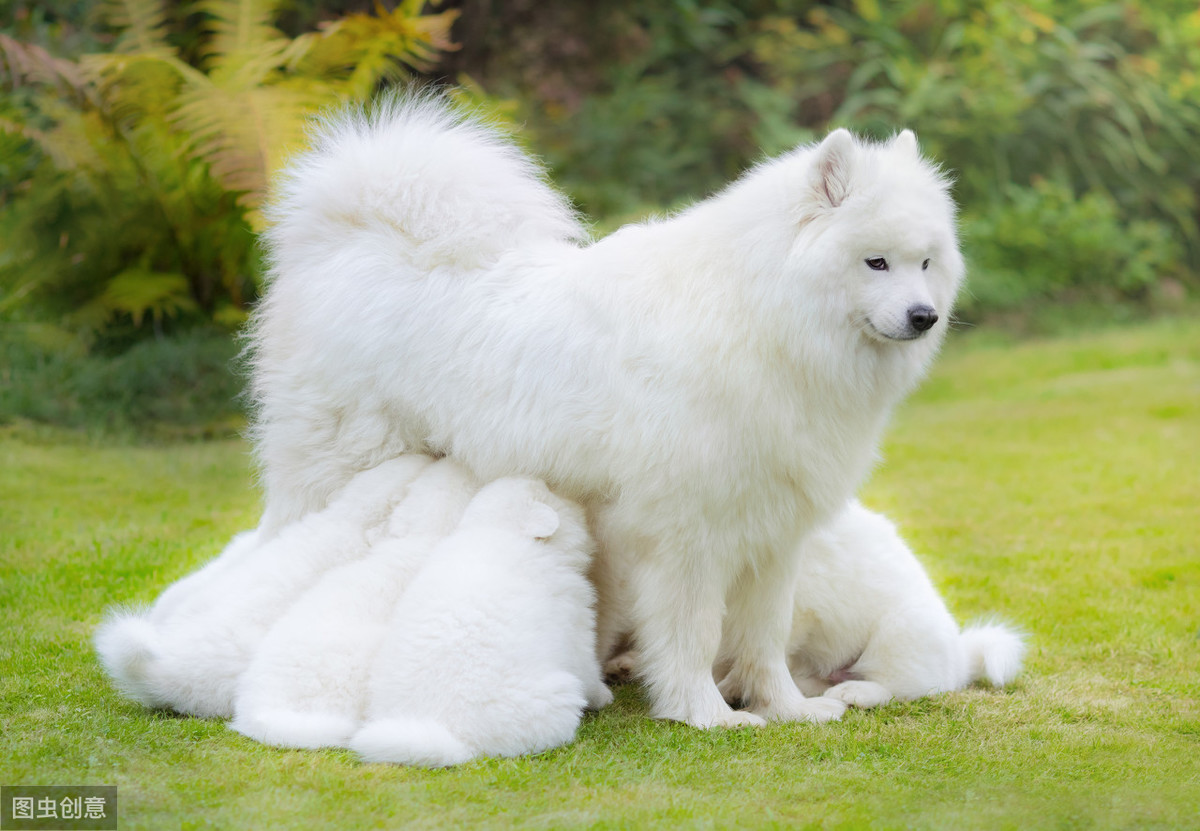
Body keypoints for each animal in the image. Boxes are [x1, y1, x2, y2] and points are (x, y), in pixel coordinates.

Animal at [253, 92, 964, 725]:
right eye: (876, 262)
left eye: (926, 263)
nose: (924, 317)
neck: (759, 316)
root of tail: (355, 243)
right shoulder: (689, 535)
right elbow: (695, 636)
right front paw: (704, 714)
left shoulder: (773, 535)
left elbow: (763, 639)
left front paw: (788, 709)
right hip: (344, 473)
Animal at [348, 477, 609, 768]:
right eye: (550, 492)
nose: (575, 497)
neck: (497, 530)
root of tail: (451, 736)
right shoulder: (577, 626)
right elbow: (590, 672)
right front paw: (604, 696)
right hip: (559, 694)